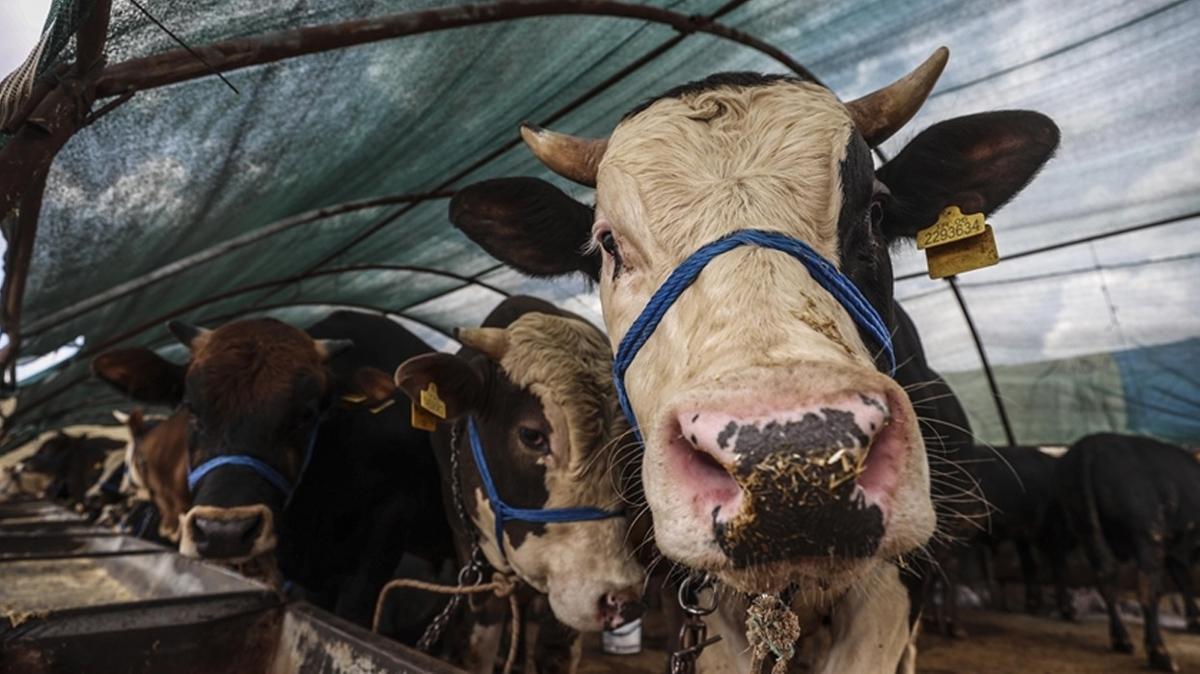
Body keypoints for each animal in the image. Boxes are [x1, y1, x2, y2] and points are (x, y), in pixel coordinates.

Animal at [1060, 431, 1200, 666]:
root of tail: (1090, 446)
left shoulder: (1175, 552)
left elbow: (1186, 584)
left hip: (1087, 529)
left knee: (1106, 580)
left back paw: (1122, 641)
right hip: (1148, 535)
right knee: (1147, 590)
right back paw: (1160, 654)